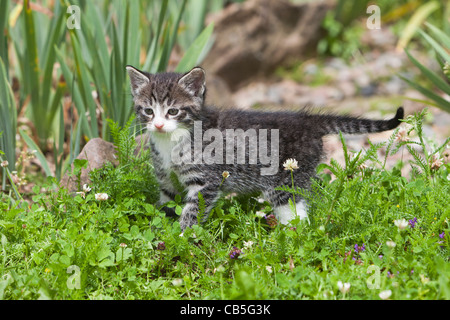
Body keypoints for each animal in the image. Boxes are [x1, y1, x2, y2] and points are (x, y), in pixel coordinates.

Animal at [125, 65, 404, 230]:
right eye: (148, 111)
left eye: (173, 111)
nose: (159, 124)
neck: (171, 141)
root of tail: (307, 120)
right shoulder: (166, 181)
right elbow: (166, 205)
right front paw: (160, 230)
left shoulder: (206, 181)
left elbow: (193, 210)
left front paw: (183, 237)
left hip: (286, 181)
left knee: (296, 213)